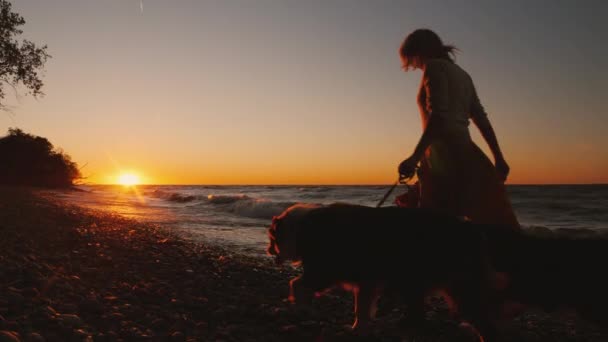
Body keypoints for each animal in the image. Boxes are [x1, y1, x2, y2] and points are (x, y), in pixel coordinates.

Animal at [268, 203, 504, 340]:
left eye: (271, 238)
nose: (268, 250)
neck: (299, 227)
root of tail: (472, 228)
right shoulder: (366, 281)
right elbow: (361, 308)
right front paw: (358, 329)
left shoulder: (326, 271)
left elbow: (296, 284)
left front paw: (302, 308)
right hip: (421, 283)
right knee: (421, 313)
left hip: (454, 285)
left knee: (482, 322)